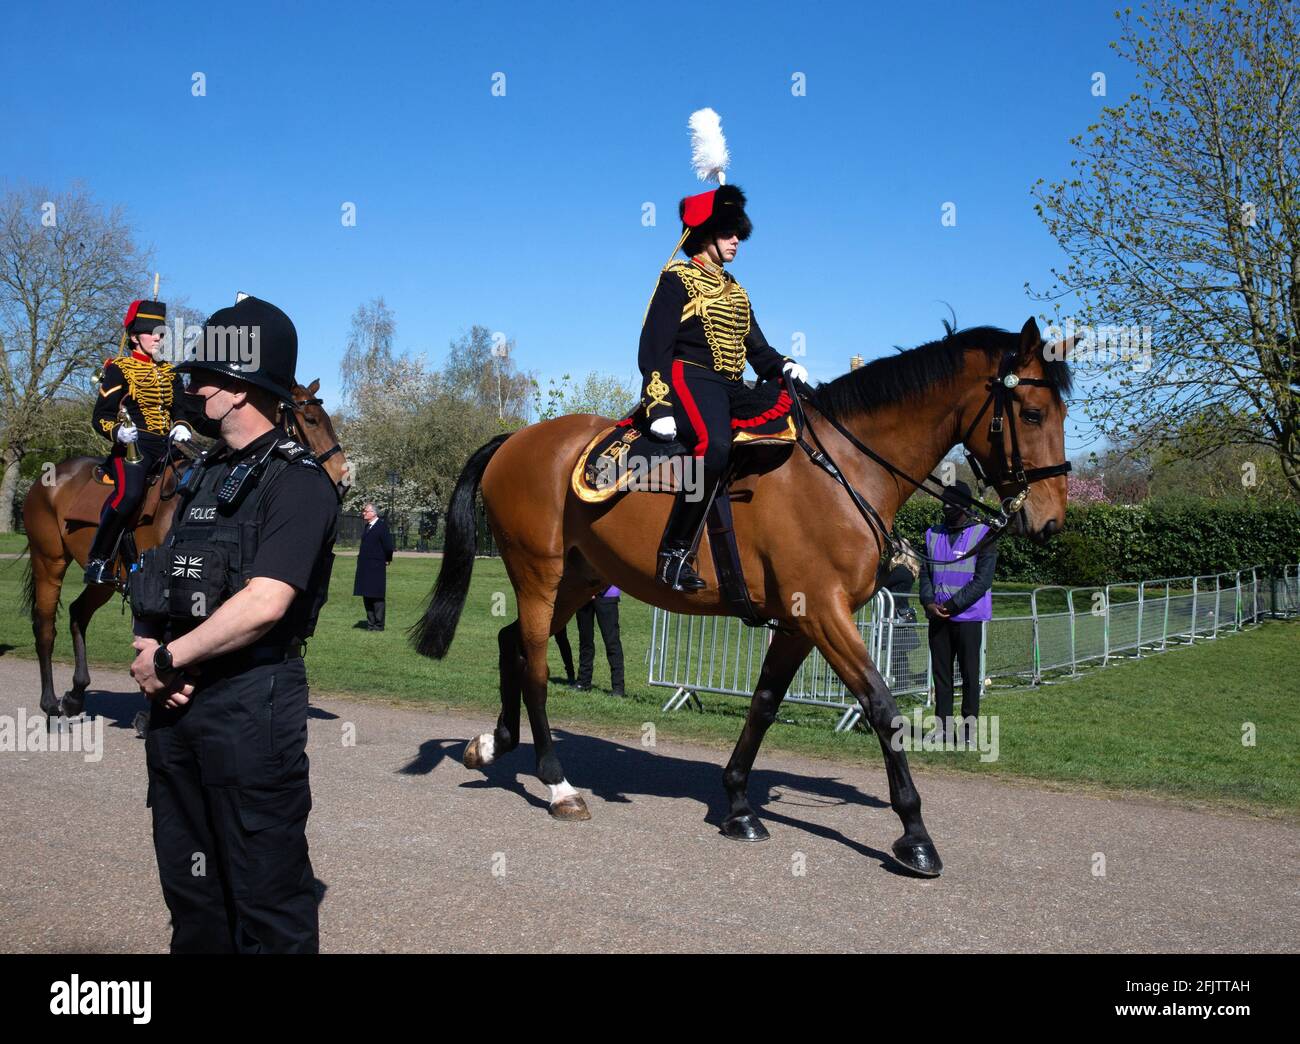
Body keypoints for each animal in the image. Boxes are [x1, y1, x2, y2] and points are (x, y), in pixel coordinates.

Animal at [20, 379, 351, 722]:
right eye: (311, 420)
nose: (343, 479)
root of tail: (49, 477)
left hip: (105, 579)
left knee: (77, 613)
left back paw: (76, 694)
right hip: (48, 561)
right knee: (45, 625)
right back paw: (50, 701)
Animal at [410, 322, 1071, 878]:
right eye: (1033, 411)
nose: (1052, 521)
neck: (841, 469)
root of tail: (516, 438)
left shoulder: (800, 623)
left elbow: (763, 704)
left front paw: (737, 805)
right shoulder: (825, 613)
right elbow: (882, 708)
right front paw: (915, 835)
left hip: (581, 579)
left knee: (514, 645)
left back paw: (494, 743)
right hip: (540, 573)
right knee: (537, 667)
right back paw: (557, 785)